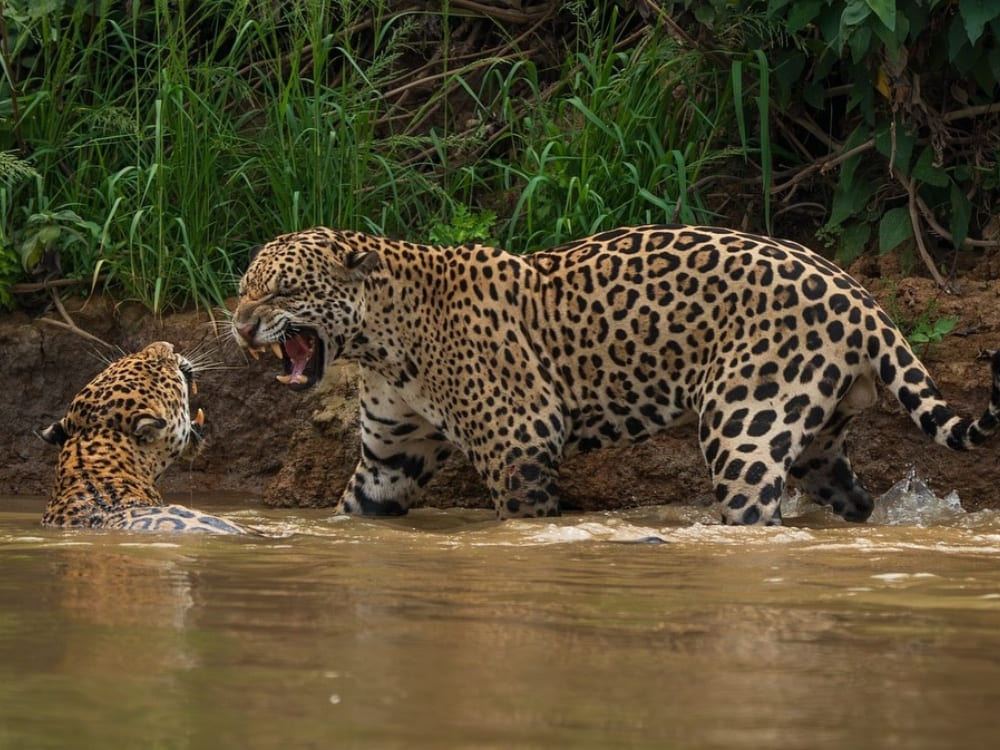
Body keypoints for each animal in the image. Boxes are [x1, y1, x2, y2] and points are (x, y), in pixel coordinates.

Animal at [232, 224, 1000, 526]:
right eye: (244, 289)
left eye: (282, 291)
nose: (239, 326)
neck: (381, 341)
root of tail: (859, 295)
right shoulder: (389, 459)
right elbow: (354, 511)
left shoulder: (520, 440)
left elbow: (524, 518)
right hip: (817, 440)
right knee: (850, 496)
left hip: (744, 427)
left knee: (756, 513)